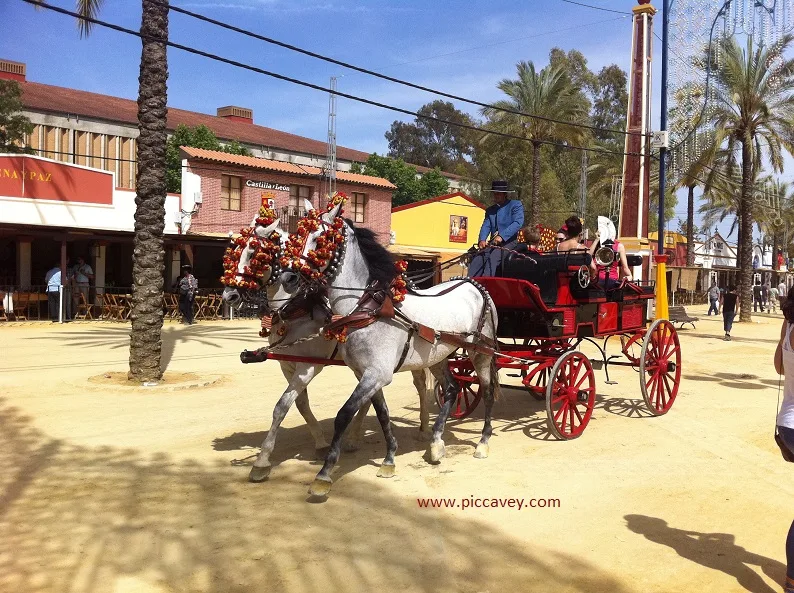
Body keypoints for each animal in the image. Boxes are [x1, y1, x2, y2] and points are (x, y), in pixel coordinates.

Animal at [223, 213, 430, 480]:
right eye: (234, 251)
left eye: (255, 252)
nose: (229, 295)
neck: (297, 309)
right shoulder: (287, 366)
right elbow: (299, 404)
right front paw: (320, 444)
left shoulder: (307, 368)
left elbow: (282, 406)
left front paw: (261, 461)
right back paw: (353, 438)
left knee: (422, 386)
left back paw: (424, 428)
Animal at [272, 197, 496, 498]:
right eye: (298, 236)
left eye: (322, 239)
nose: (289, 278)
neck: (367, 307)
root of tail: (473, 284)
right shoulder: (365, 373)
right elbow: (382, 413)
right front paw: (389, 459)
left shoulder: (376, 374)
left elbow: (344, 415)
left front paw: (324, 474)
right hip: (438, 356)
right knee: (450, 389)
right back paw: (436, 443)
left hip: (481, 353)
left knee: (487, 392)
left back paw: (482, 443)